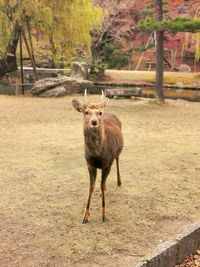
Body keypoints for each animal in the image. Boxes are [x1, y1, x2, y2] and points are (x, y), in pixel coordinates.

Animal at [72, 90, 123, 224]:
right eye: (86, 112)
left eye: (100, 112)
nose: (94, 122)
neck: (98, 155)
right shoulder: (90, 164)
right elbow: (92, 187)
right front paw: (85, 216)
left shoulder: (107, 164)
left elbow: (102, 185)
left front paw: (104, 215)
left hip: (117, 152)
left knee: (117, 160)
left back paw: (119, 181)